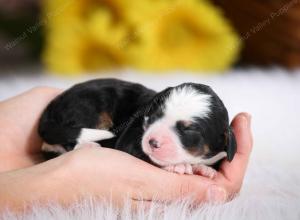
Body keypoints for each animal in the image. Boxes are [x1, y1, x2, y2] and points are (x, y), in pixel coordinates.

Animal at [38, 78, 237, 178]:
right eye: (154, 116)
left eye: (188, 130)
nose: (152, 142)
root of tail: (51, 107)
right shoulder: (130, 140)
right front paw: (179, 166)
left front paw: (204, 169)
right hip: (87, 107)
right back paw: (89, 146)